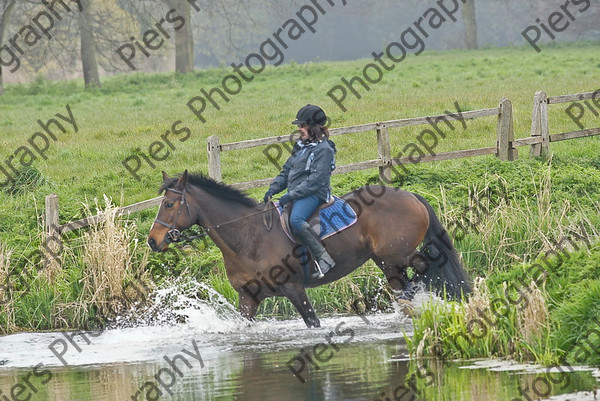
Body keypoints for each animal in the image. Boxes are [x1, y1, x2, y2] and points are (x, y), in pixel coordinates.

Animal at [148, 170, 472, 326]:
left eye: (170, 204)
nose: (153, 240)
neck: (247, 238)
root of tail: (409, 195)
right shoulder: (247, 299)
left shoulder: (294, 289)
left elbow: (312, 321)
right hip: (386, 261)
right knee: (407, 280)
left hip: (397, 254)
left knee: (428, 265)